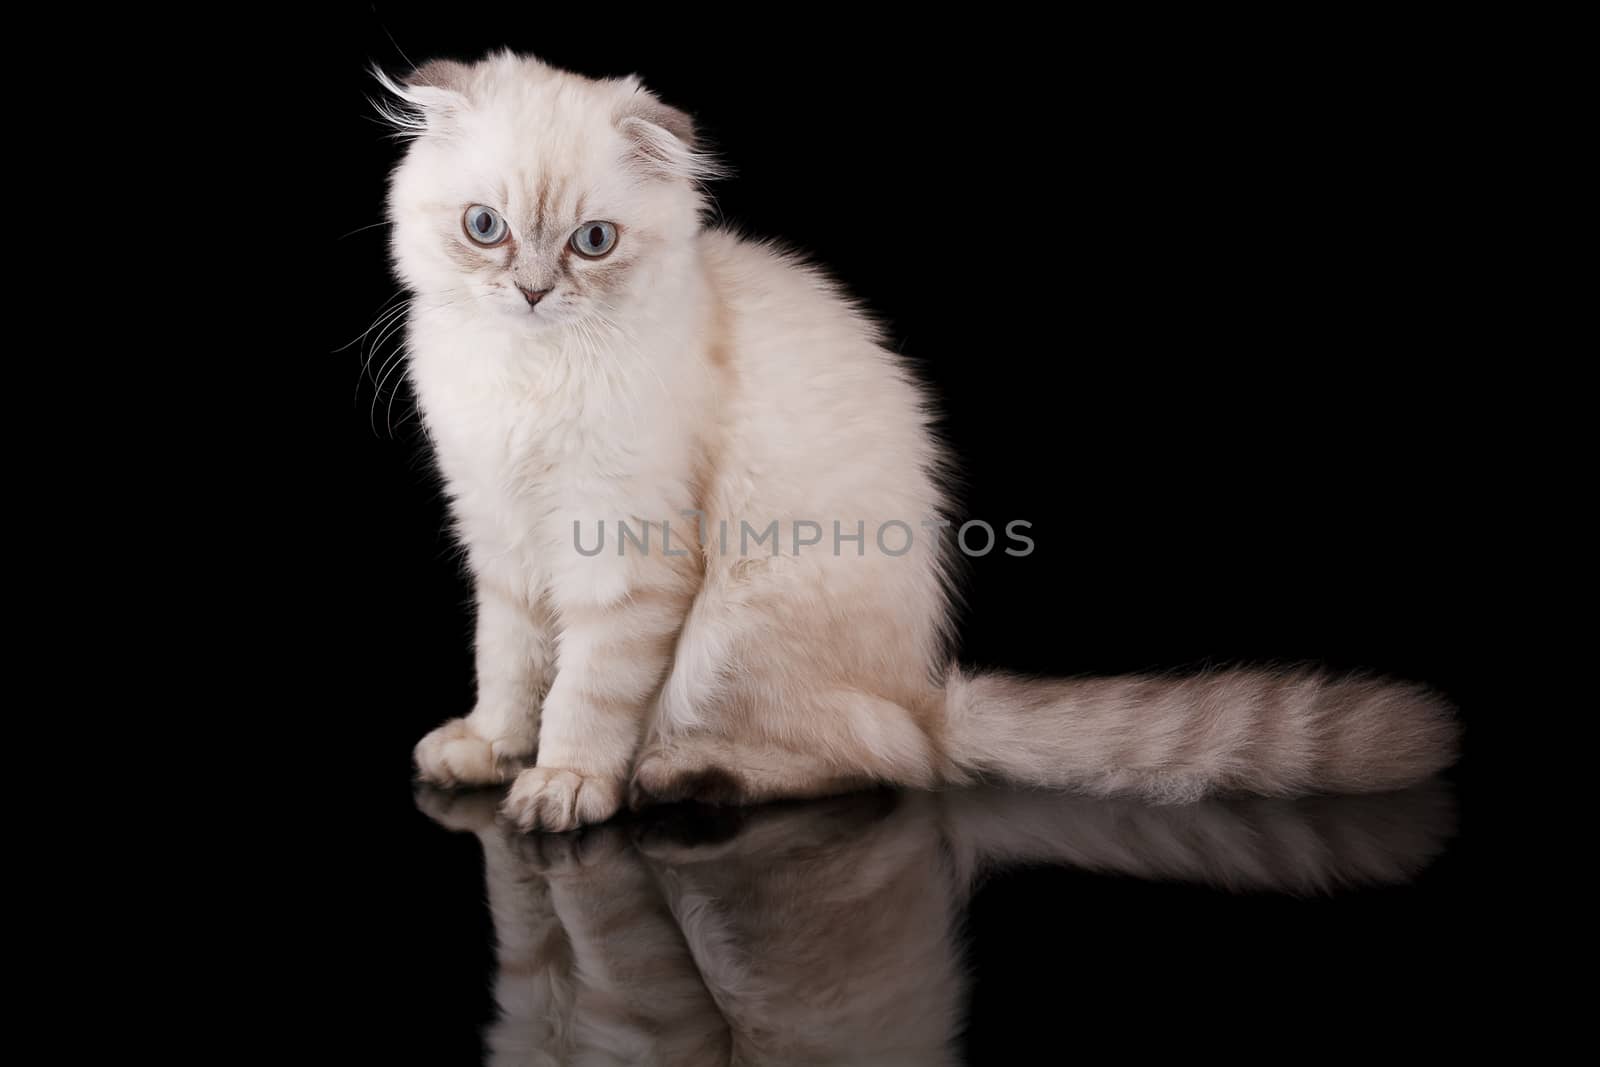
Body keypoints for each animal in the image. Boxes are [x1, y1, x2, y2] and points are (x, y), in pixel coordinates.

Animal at [380, 49, 1459, 831]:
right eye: (485, 227)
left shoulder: (623, 556)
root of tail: (933, 688)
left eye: (591, 243)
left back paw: (686, 773)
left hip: (738, 622)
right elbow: (509, 666)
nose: (531, 292)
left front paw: (563, 783)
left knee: (893, 757)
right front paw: (488, 749)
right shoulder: (502, 541)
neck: (525, 380)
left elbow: (584, 695)